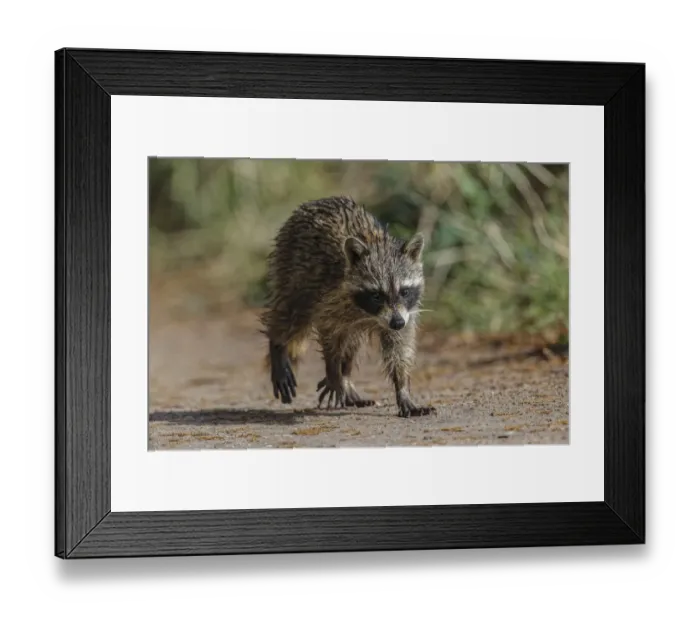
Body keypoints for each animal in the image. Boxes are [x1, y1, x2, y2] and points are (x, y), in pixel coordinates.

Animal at [261, 196, 435, 418]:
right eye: (376, 295)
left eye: (404, 291)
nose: (396, 322)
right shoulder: (328, 297)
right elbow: (329, 334)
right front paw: (333, 371)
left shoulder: (405, 313)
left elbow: (399, 347)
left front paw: (403, 388)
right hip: (291, 269)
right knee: (291, 316)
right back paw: (278, 346)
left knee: (352, 343)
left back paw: (347, 377)